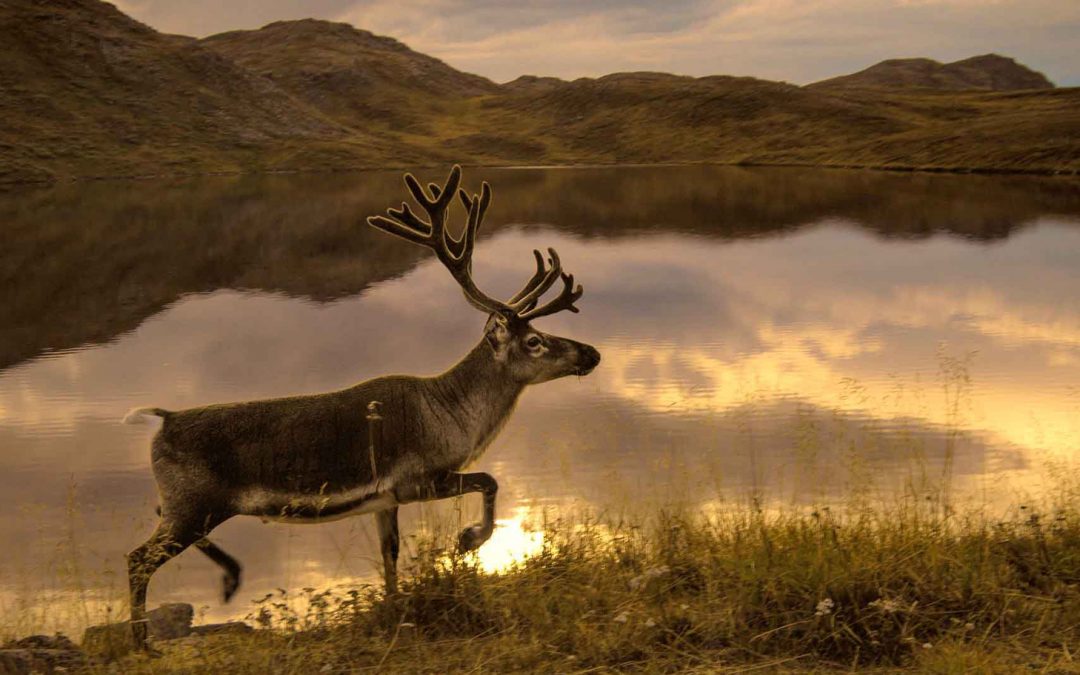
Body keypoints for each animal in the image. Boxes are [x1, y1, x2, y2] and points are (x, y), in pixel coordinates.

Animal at [121, 165, 600, 649]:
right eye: (534, 341)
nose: (592, 353)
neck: (453, 417)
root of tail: (163, 421)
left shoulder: (384, 500)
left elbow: (390, 555)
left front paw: (394, 611)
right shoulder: (418, 480)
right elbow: (490, 480)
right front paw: (468, 539)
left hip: (187, 508)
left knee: (151, 536)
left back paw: (219, 585)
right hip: (194, 506)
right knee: (136, 559)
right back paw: (143, 645)